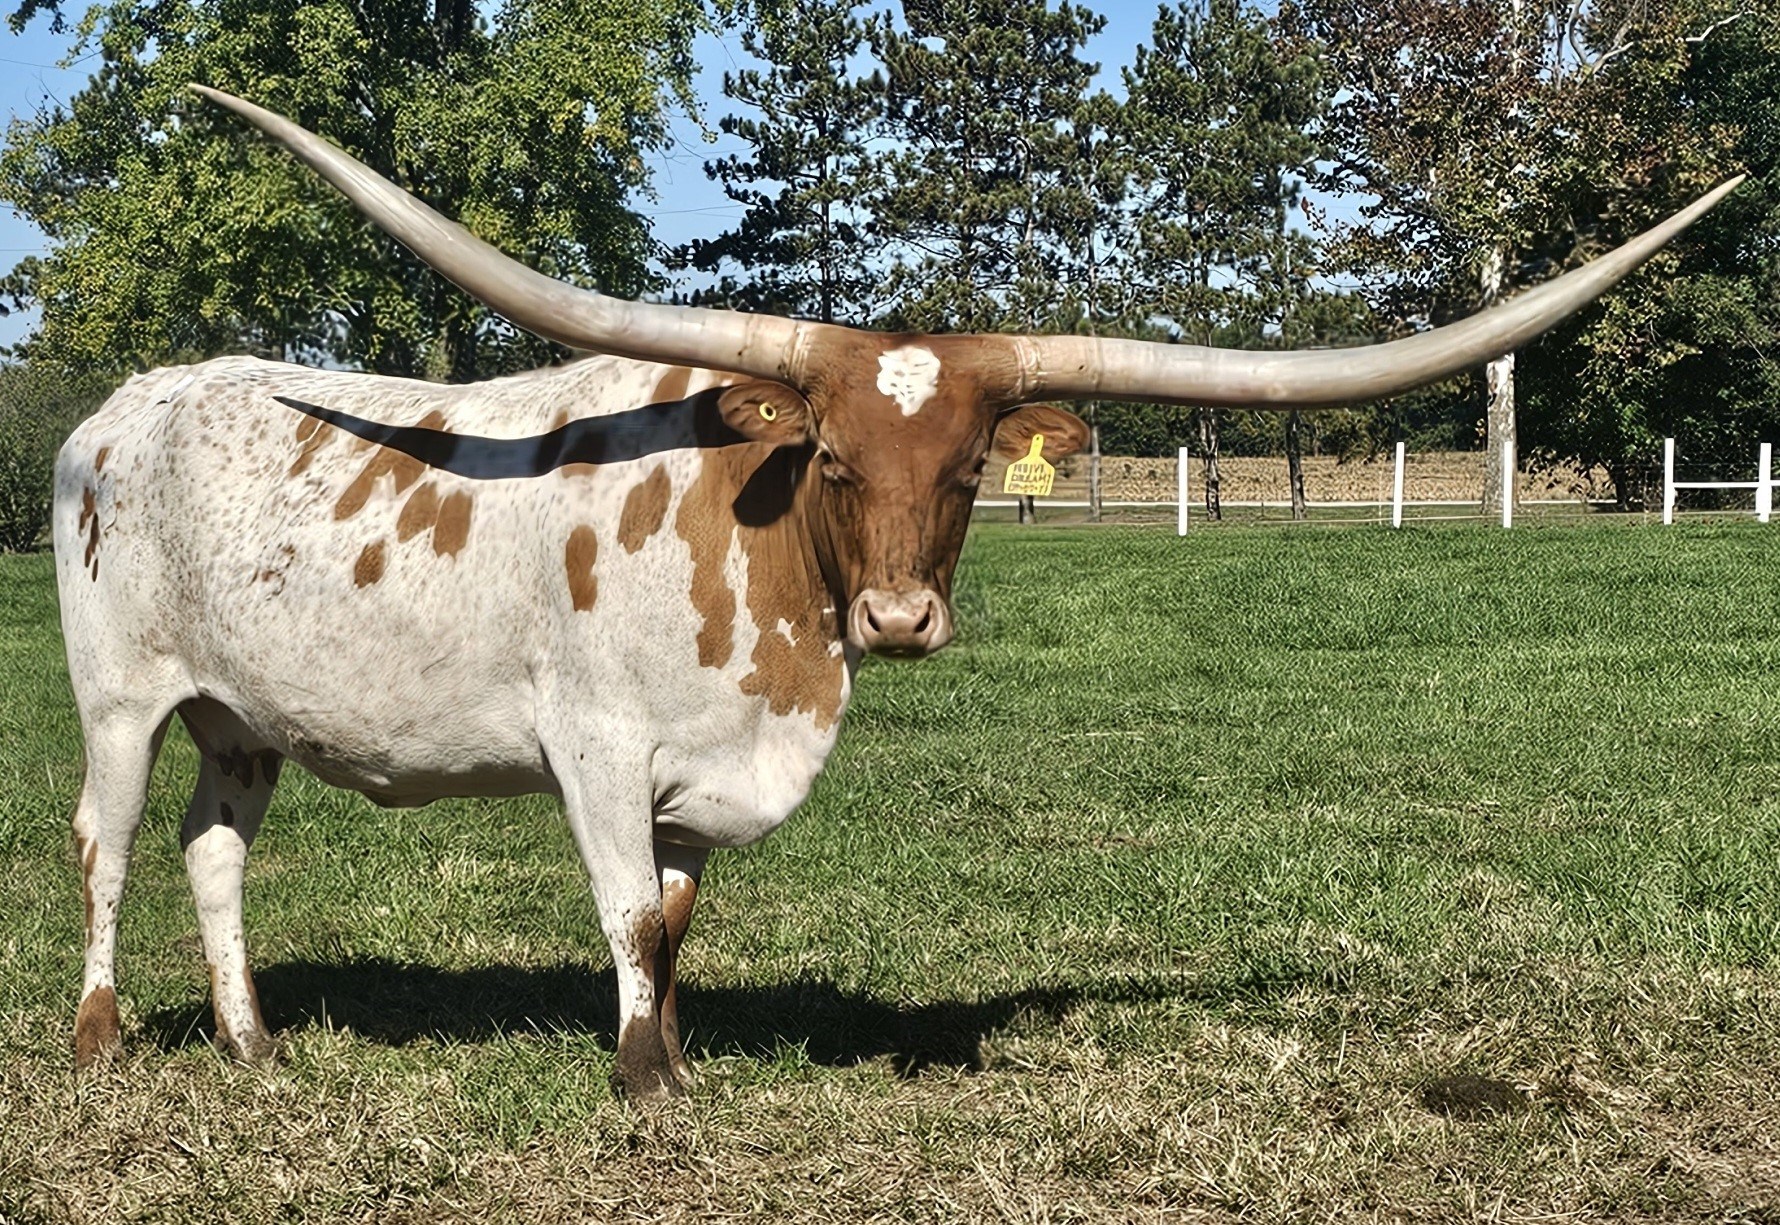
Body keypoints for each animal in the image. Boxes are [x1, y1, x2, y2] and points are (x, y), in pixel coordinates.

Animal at [53, 85, 1741, 1098]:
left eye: (974, 462)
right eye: (836, 457)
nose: (900, 620)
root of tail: (122, 408)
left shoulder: (700, 768)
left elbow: (673, 922)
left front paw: (674, 1051)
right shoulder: (592, 747)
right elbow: (622, 907)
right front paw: (641, 1080)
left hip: (241, 718)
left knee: (213, 852)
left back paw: (255, 1041)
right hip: (121, 698)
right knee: (107, 847)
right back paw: (97, 1037)